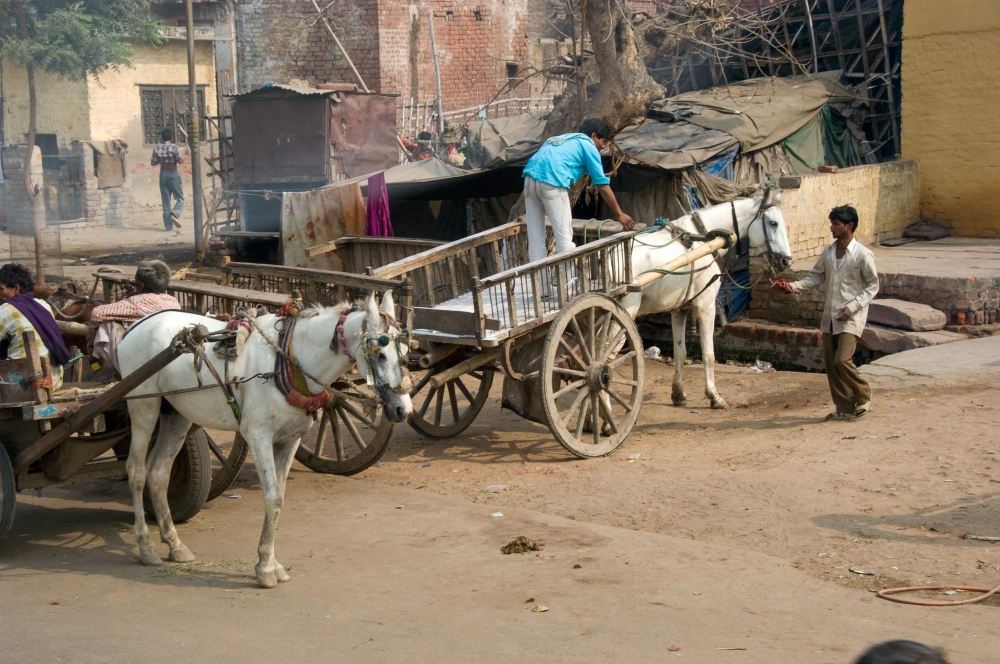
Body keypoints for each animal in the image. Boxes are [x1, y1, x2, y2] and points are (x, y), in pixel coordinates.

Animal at [116, 290, 410, 588]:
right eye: (380, 354)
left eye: (406, 355)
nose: (403, 409)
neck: (289, 360)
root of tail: (136, 325)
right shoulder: (257, 437)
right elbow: (272, 498)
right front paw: (266, 568)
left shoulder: (290, 440)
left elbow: (279, 498)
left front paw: (271, 562)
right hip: (143, 406)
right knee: (137, 472)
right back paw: (146, 547)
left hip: (177, 414)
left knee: (159, 473)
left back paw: (174, 544)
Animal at [620, 195, 792, 408]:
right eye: (773, 223)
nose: (786, 261)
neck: (702, 240)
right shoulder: (706, 306)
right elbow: (708, 354)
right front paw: (714, 396)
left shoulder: (679, 309)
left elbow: (680, 351)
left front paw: (678, 393)